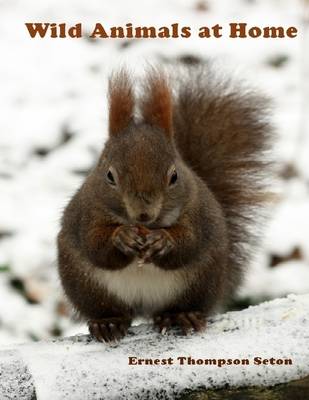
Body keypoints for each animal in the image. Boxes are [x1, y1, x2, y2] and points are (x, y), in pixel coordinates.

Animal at [56, 65, 270, 340]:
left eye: (174, 176)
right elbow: (94, 245)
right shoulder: (87, 213)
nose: (143, 214)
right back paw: (108, 322)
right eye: (109, 176)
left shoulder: (196, 213)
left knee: (180, 304)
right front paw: (121, 237)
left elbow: (189, 242)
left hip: (201, 280)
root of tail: (144, 306)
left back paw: (179, 316)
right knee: (109, 308)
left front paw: (163, 241)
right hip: (85, 284)